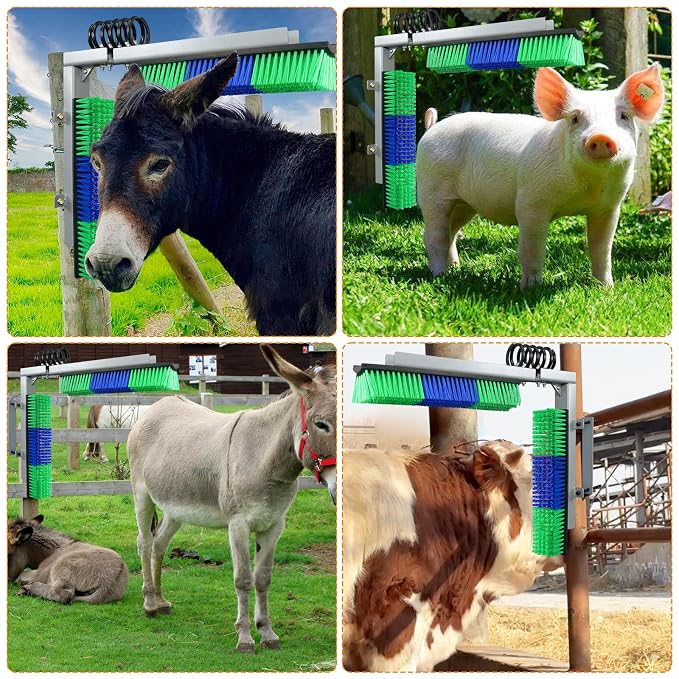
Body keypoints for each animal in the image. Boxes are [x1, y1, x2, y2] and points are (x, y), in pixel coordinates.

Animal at [126, 344, 336, 652]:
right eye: (321, 425)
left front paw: (267, 633)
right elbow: (243, 580)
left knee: (159, 543)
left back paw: (161, 600)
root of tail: (158, 405)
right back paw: (150, 603)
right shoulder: (238, 525)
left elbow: (263, 578)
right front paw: (245, 638)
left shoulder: (274, 525)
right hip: (142, 495)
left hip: (176, 507)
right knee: (143, 542)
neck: (264, 460)